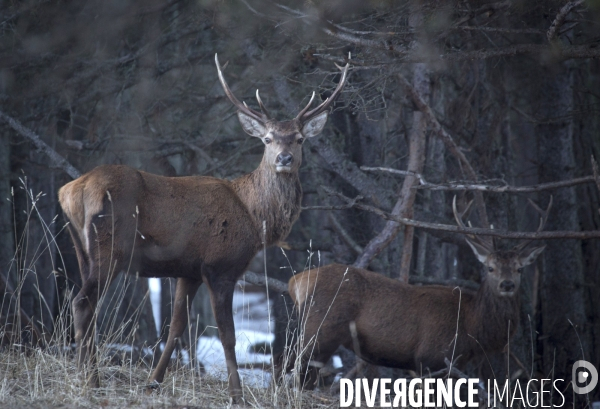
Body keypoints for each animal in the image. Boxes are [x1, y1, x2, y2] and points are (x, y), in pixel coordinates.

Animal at [58, 52, 350, 400]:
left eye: (300, 138)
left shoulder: (189, 271)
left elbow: (176, 329)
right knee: (83, 302)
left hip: (81, 248)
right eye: (267, 139)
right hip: (109, 247)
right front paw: (236, 394)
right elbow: (228, 335)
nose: (284, 158)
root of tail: (70, 191)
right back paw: (89, 380)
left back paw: (87, 374)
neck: (254, 218)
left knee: (85, 304)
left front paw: (154, 382)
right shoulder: (220, 266)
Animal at [274, 196, 552, 388]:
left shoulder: (453, 365)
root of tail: (296, 281)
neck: (472, 327)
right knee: (286, 364)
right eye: (490, 267)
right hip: (321, 327)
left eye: (519, 268)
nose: (507, 284)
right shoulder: (430, 357)